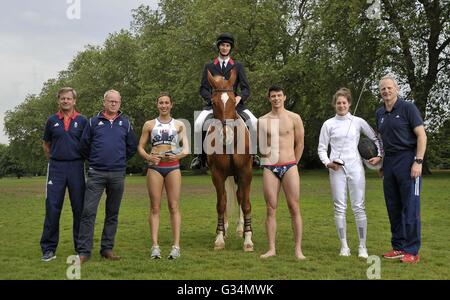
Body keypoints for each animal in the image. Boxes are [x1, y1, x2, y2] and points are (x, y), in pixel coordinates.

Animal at [205, 68, 253, 251]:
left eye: (233, 101)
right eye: (213, 103)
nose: (227, 135)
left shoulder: (245, 172)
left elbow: (245, 203)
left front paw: (248, 239)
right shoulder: (217, 174)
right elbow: (221, 204)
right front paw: (219, 238)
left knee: (239, 196)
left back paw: (240, 229)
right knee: (225, 197)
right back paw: (224, 228)